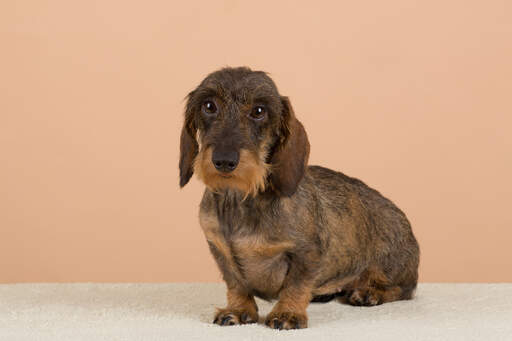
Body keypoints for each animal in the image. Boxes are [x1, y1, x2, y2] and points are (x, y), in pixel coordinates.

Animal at [180, 65, 420, 328]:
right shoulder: (219, 249)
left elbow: (296, 285)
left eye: (259, 111)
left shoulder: (307, 254)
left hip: (391, 267)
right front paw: (238, 310)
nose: (224, 160)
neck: (240, 199)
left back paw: (370, 293)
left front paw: (287, 313)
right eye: (209, 106)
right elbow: (236, 284)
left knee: (404, 290)